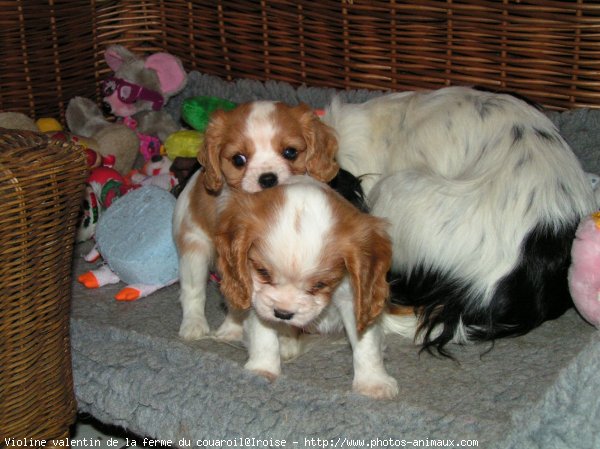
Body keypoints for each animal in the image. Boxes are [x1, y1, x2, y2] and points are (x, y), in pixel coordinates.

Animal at [172, 100, 338, 338]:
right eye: (238, 159)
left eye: (290, 152)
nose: (268, 179)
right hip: (195, 247)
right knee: (192, 290)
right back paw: (194, 325)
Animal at [216, 176, 398, 400]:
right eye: (262, 272)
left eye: (320, 284)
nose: (283, 313)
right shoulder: (256, 295)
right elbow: (263, 334)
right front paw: (262, 369)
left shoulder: (354, 296)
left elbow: (366, 343)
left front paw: (373, 382)